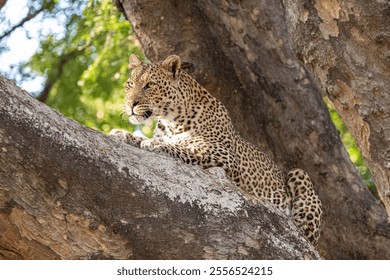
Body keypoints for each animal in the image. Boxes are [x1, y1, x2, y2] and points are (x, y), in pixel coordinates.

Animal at [109, 54, 322, 245]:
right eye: (130, 85)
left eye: (149, 85)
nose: (130, 105)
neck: (171, 121)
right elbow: (144, 138)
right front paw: (121, 134)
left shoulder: (224, 155)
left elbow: (184, 147)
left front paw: (156, 145)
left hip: (299, 175)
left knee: (304, 235)